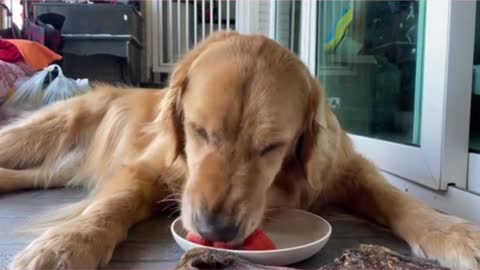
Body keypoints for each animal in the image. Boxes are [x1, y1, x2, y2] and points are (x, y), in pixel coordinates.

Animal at [2, 30, 480, 268]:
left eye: (271, 146)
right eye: (198, 131)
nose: (215, 230)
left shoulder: (347, 169)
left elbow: (399, 199)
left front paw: (455, 233)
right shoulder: (146, 169)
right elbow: (109, 206)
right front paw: (66, 245)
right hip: (35, 135)